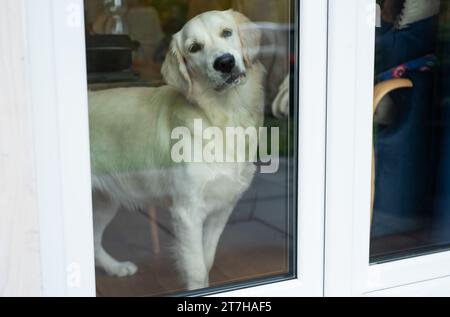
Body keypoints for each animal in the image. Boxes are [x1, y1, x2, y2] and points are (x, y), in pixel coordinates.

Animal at [89, 9, 266, 288]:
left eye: (226, 32)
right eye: (194, 48)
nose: (225, 63)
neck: (224, 115)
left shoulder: (222, 209)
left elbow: (207, 259)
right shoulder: (187, 212)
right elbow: (196, 268)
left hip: (105, 200)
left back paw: (115, 267)